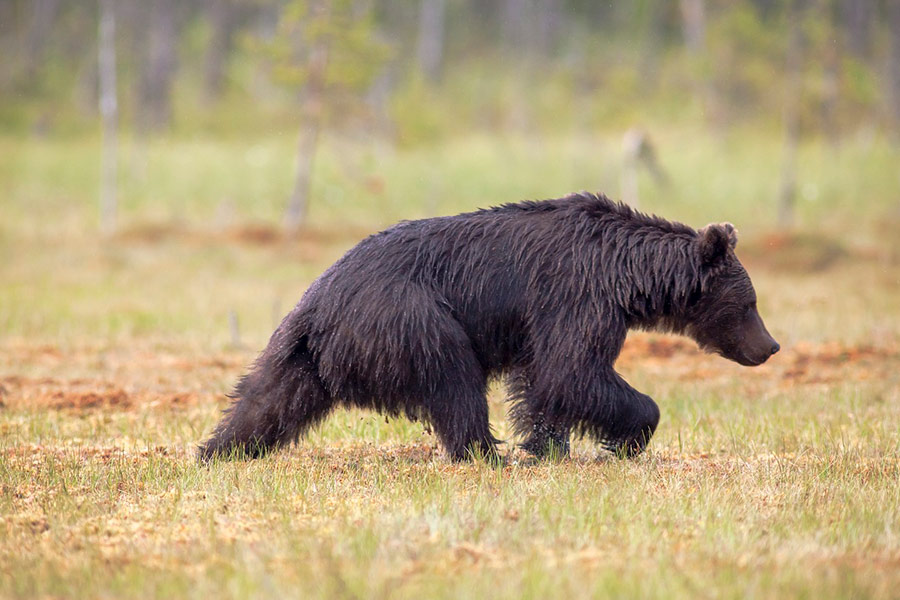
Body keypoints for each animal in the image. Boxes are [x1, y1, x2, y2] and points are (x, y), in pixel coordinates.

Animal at [199, 192, 779, 462]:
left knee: (267, 400)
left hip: (302, 352)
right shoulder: (574, 296)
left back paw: (217, 450)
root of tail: (318, 304)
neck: (625, 276)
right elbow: (572, 371)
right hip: (411, 317)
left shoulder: (543, 320)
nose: (770, 346)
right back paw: (485, 452)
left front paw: (546, 446)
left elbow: (545, 381)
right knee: (455, 382)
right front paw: (626, 438)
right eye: (749, 303)